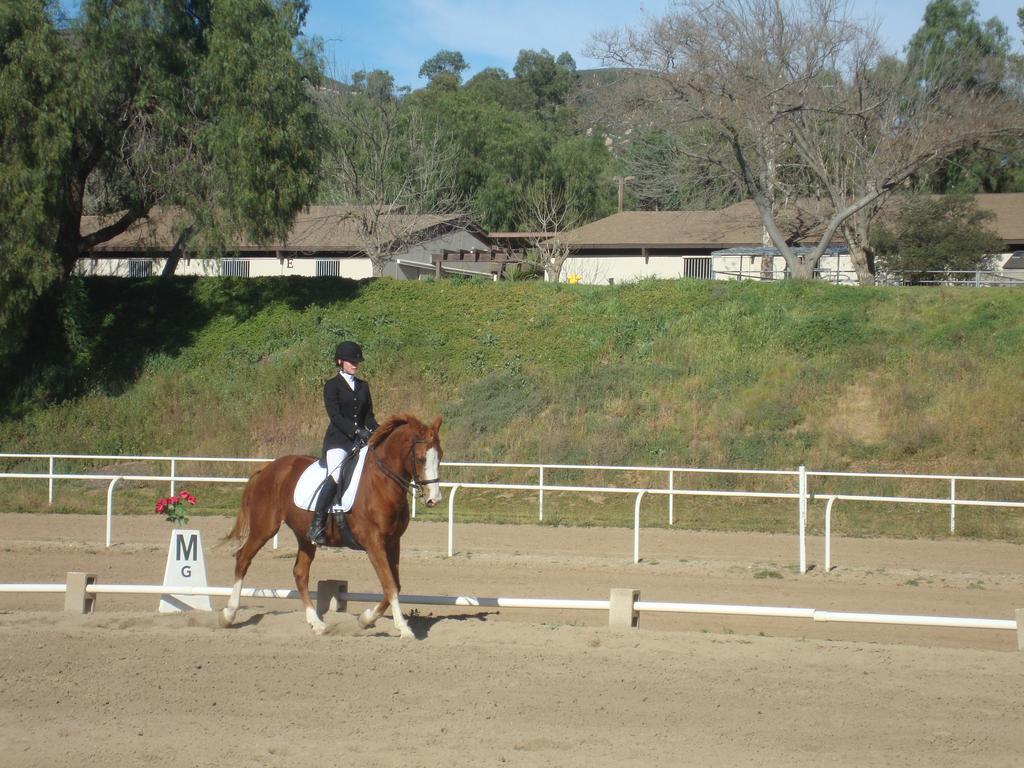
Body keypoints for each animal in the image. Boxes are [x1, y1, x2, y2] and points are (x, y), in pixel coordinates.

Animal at [218, 415, 442, 638]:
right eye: (421, 458)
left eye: (439, 457)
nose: (434, 499)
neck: (381, 483)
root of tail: (268, 467)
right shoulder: (373, 543)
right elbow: (390, 584)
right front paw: (403, 628)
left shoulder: (393, 542)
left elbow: (395, 584)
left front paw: (365, 620)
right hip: (264, 528)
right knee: (243, 559)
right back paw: (228, 615)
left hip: (304, 536)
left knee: (300, 573)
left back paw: (317, 623)